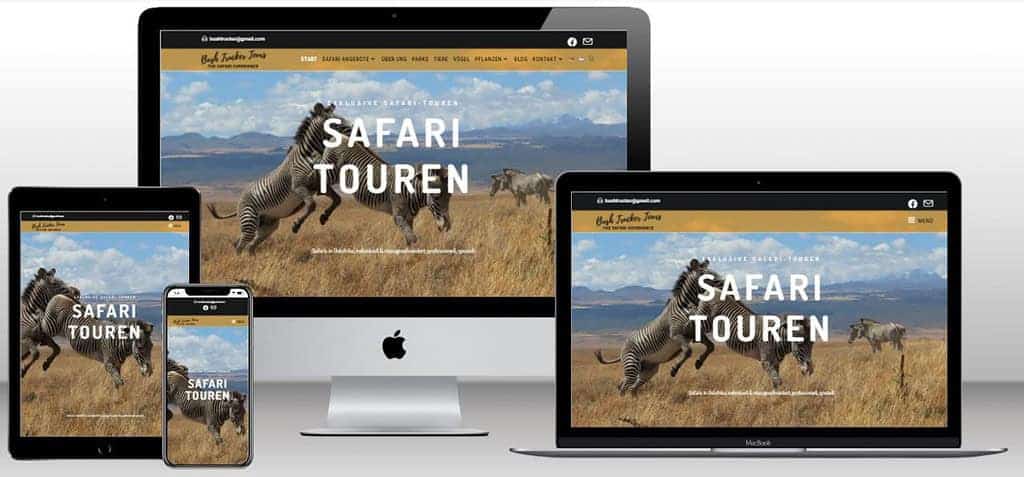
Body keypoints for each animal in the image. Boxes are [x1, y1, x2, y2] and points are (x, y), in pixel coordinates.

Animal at [207, 102, 352, 255]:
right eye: (335, 125)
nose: (357, 133)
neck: (309, 154)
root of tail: (239, 203)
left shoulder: (319, 185)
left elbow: (338, 200)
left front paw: (324, 217)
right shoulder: (298, 186)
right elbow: (312, 205)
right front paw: (296, 225)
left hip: (267, 225)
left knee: (249, 245)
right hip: (249, 220)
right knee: (241, 244)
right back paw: (238, 261)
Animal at [313, 138, 453, 246]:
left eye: (449, 197)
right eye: (436, 197)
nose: (447, 227)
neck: (412, 191)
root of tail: (339, 136)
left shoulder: (409, 217)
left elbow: (409, 239)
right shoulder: (398, 216)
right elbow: (413, 239)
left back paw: (324, 214)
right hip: (330, 171)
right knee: (317, 181)